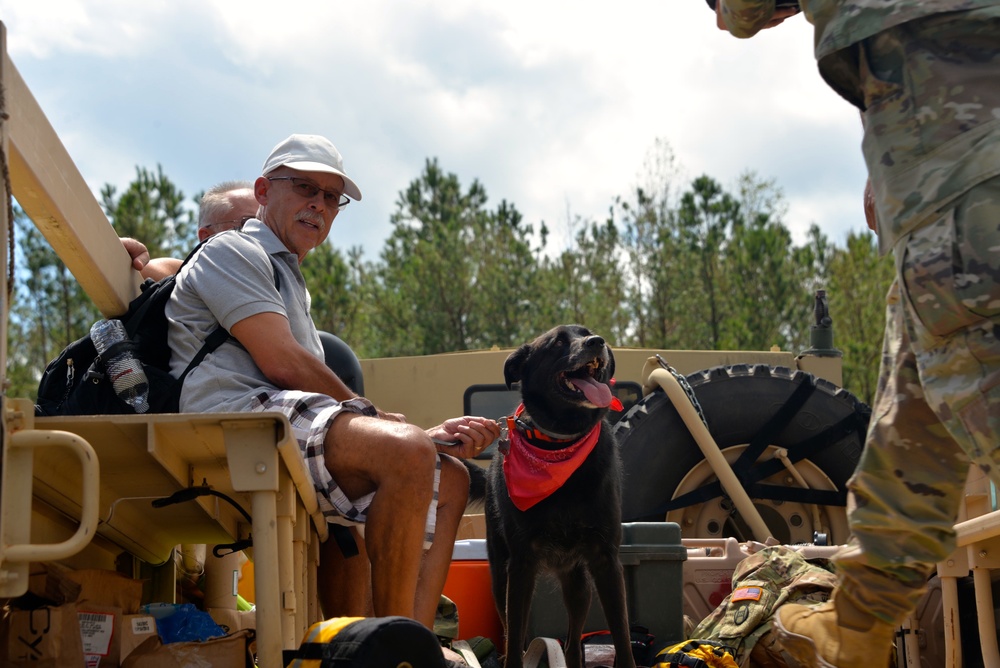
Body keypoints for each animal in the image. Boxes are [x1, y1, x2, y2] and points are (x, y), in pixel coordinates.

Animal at [482, 324, 632, 668]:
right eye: (558, 343)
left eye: (588, 332)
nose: (597, 342)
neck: (561, 444)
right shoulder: (520, 564)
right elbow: (515, 641)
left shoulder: (606, 560)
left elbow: (622, 634)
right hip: (499, 576)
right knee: (513, 632)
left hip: (579, 587)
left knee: (574, 641)